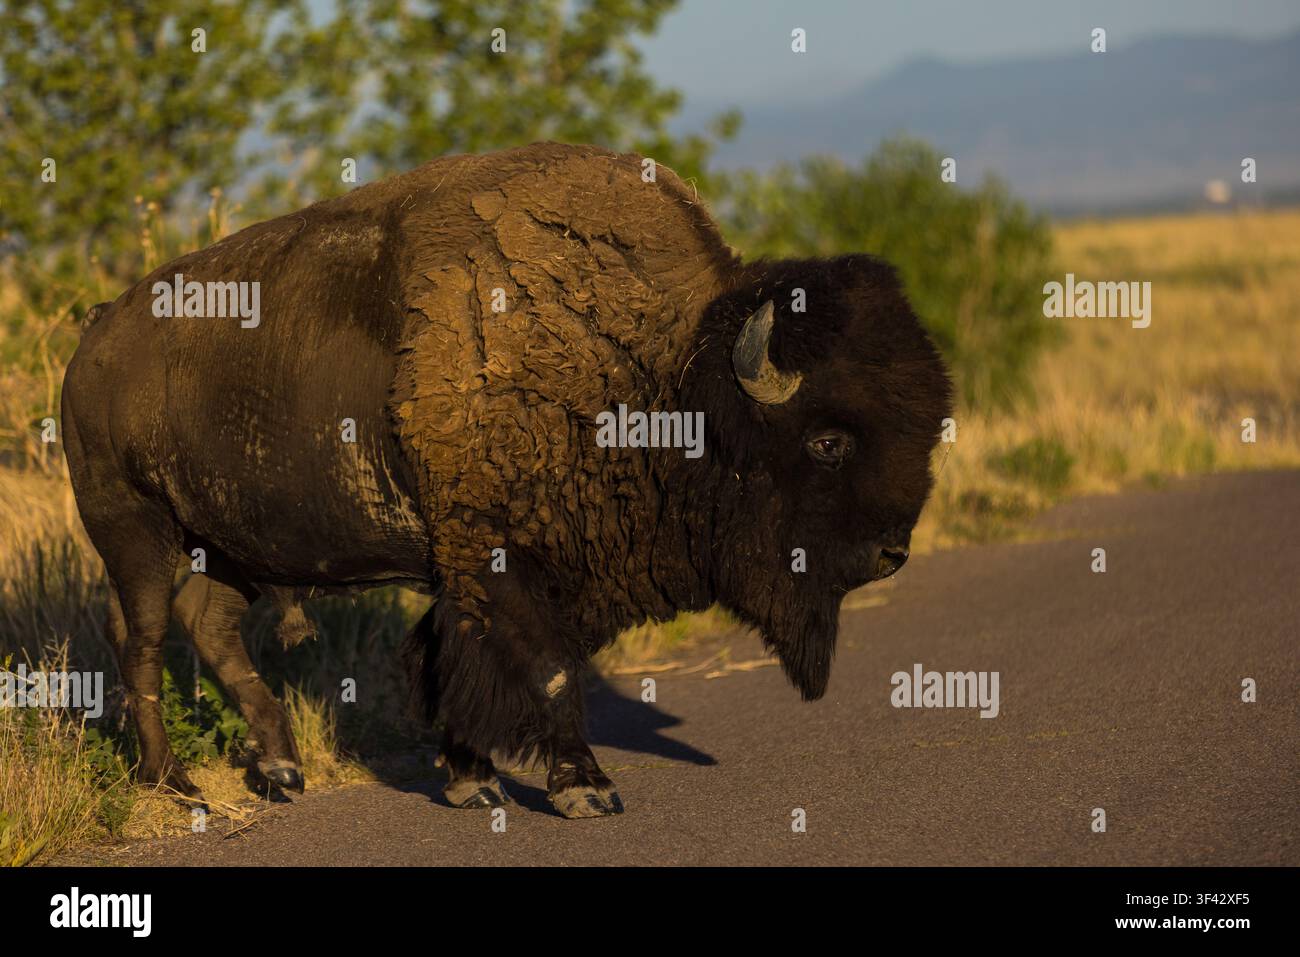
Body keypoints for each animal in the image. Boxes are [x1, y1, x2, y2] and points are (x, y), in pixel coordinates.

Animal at [62, 142, 951, 818]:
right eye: (829, 441)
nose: (892, 552)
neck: (664, 375)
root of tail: (94, 335)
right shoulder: (500, 558)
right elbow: (544, 664)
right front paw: (587, 788)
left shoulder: (489, 565)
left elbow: (449, 660)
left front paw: (471, 779)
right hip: (135, 532)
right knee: (142, 638)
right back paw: (174, 783)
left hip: (233, 552)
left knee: (209, 627)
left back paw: (282, 770)